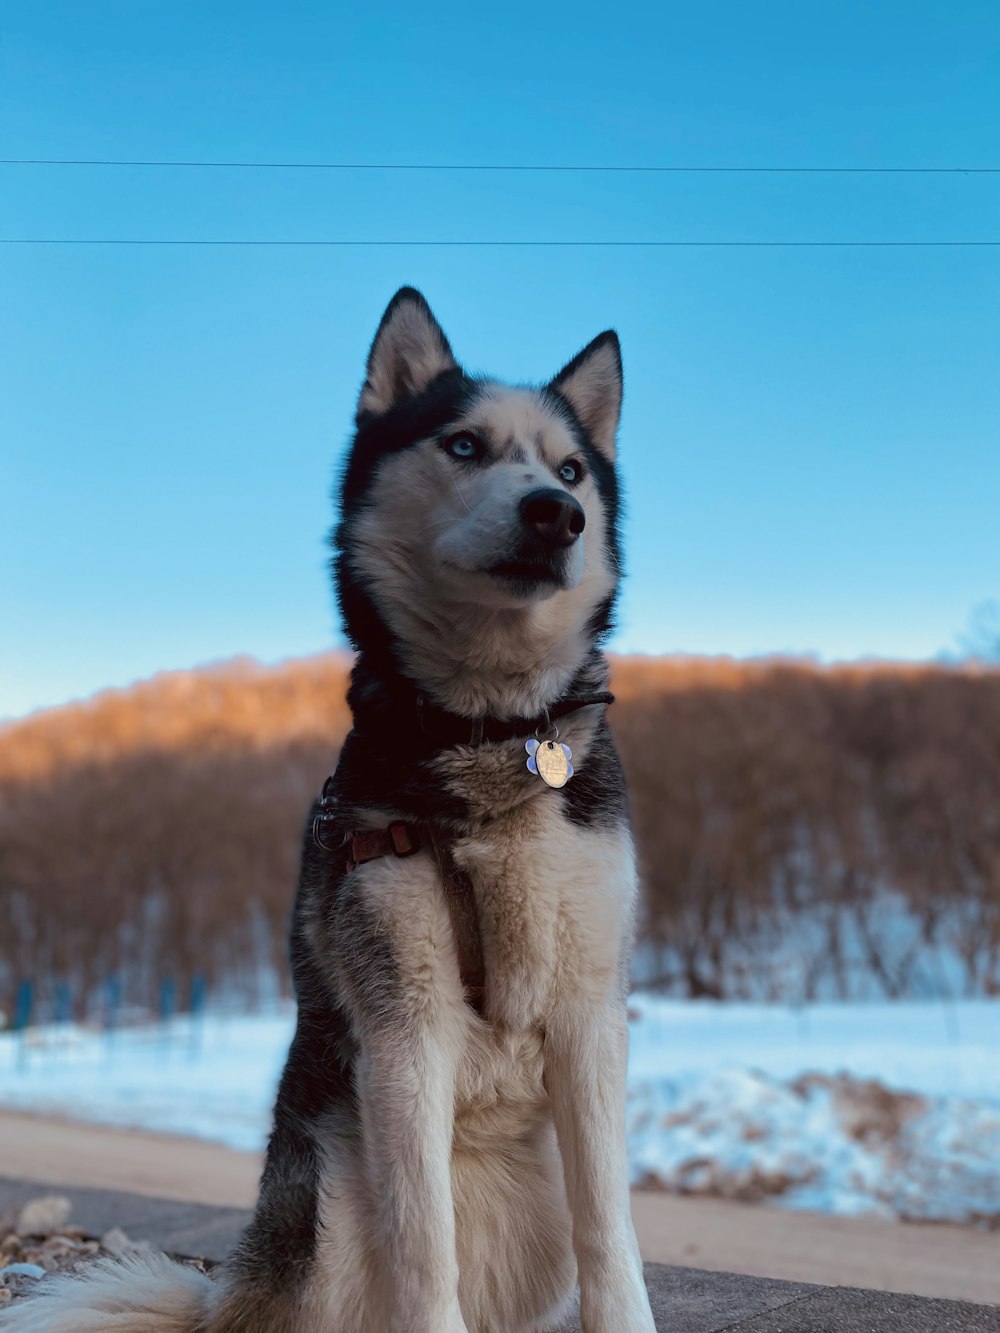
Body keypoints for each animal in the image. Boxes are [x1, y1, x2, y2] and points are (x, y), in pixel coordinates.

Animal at [9, 289, 666, 1333]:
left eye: (570, 470)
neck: (489, 731)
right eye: (464, 445)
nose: (555, 514)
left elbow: (612, 1230)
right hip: (324, 1204)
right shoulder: (404, 1026)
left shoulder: (591, 1013)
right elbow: (424, 1247)